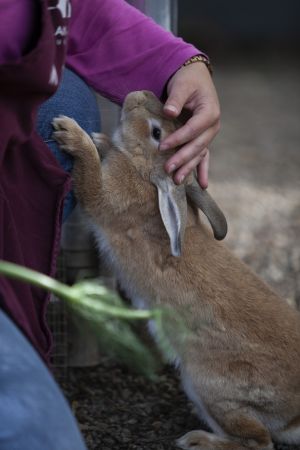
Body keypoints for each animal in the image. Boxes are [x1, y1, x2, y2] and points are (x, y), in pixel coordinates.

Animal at [52, 89, 300, 450]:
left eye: (157, 132)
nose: (137, 94)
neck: (148, 174)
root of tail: (296, 414)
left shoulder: (106, 198)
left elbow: (92, 183)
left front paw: (72, 134)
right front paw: (101, 140)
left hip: (208, 386)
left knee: (258, 441)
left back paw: (197, 440)